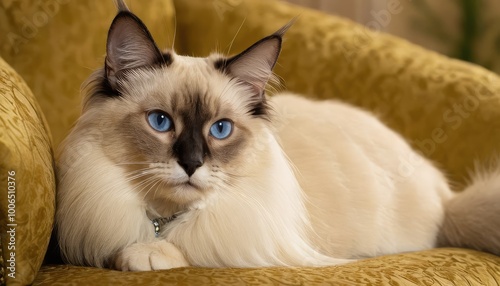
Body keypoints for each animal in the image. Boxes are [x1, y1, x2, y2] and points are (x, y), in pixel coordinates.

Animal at [56, 1, 500, 270]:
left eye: (220, 129)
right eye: (161, 122)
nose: (192, 164)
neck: (162, 220)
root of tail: (447, 197)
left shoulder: (242, 231)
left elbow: (189, 244)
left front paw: (144, 256)